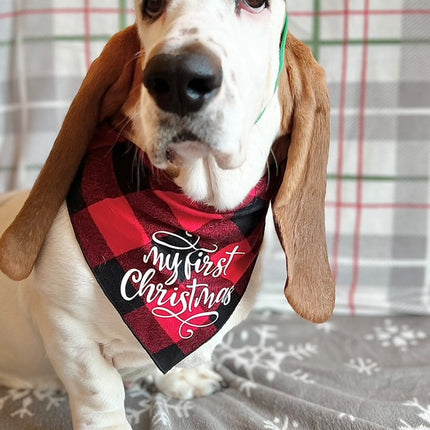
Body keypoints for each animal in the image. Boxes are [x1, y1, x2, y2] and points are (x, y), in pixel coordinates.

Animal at [0, 1, 334, 428]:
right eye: (151, 6)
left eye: (256, 4)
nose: (178, 76)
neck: (192, 220)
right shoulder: (66, 328)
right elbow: (99, 392)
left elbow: (174, 359)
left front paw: (181, 378)